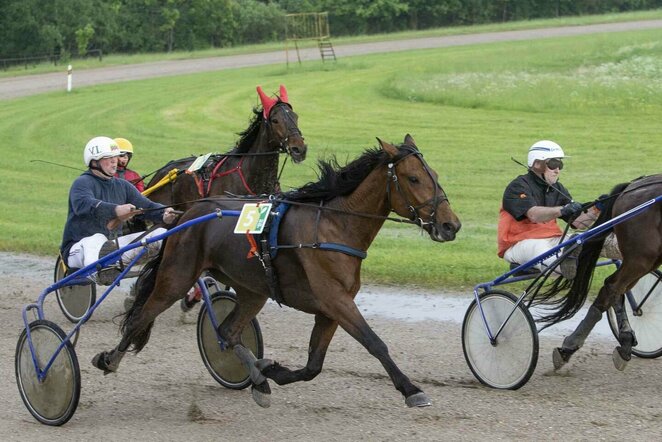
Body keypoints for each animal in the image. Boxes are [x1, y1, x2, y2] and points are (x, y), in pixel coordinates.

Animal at [92, 134, 462, 408]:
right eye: (413, 178)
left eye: (435, 176)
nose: (451, 225)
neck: (334, 226)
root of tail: (187, 214)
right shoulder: (336, 300)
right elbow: (375, 343)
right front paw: (411, 389)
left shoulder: (329, 309)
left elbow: (313, 365)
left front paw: (272, 371)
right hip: (177, 276)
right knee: (142, 316)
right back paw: (109, 359)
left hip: (253, 289)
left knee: (227, 332)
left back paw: (258, 378)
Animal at [536, 174, 662, 372]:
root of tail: (631, 186)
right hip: (641, 256)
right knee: (613, 286)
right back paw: (569, 347)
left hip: (649, 258)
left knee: (615, 289)